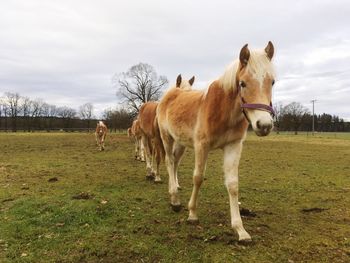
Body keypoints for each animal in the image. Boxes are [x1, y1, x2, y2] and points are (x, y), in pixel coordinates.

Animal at [158, 42, 276, 242]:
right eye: (243, 83)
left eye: (272, 82)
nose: (264, 125)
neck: (223, 111)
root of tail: (170, 94)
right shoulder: (201, 146)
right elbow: (198, 177)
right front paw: (192, 214)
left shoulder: (233, 146)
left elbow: (233, 184)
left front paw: (240, 230)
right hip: (167, 137)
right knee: (169, 161)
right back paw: (174, 199)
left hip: (180, 143)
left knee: (174, 163)